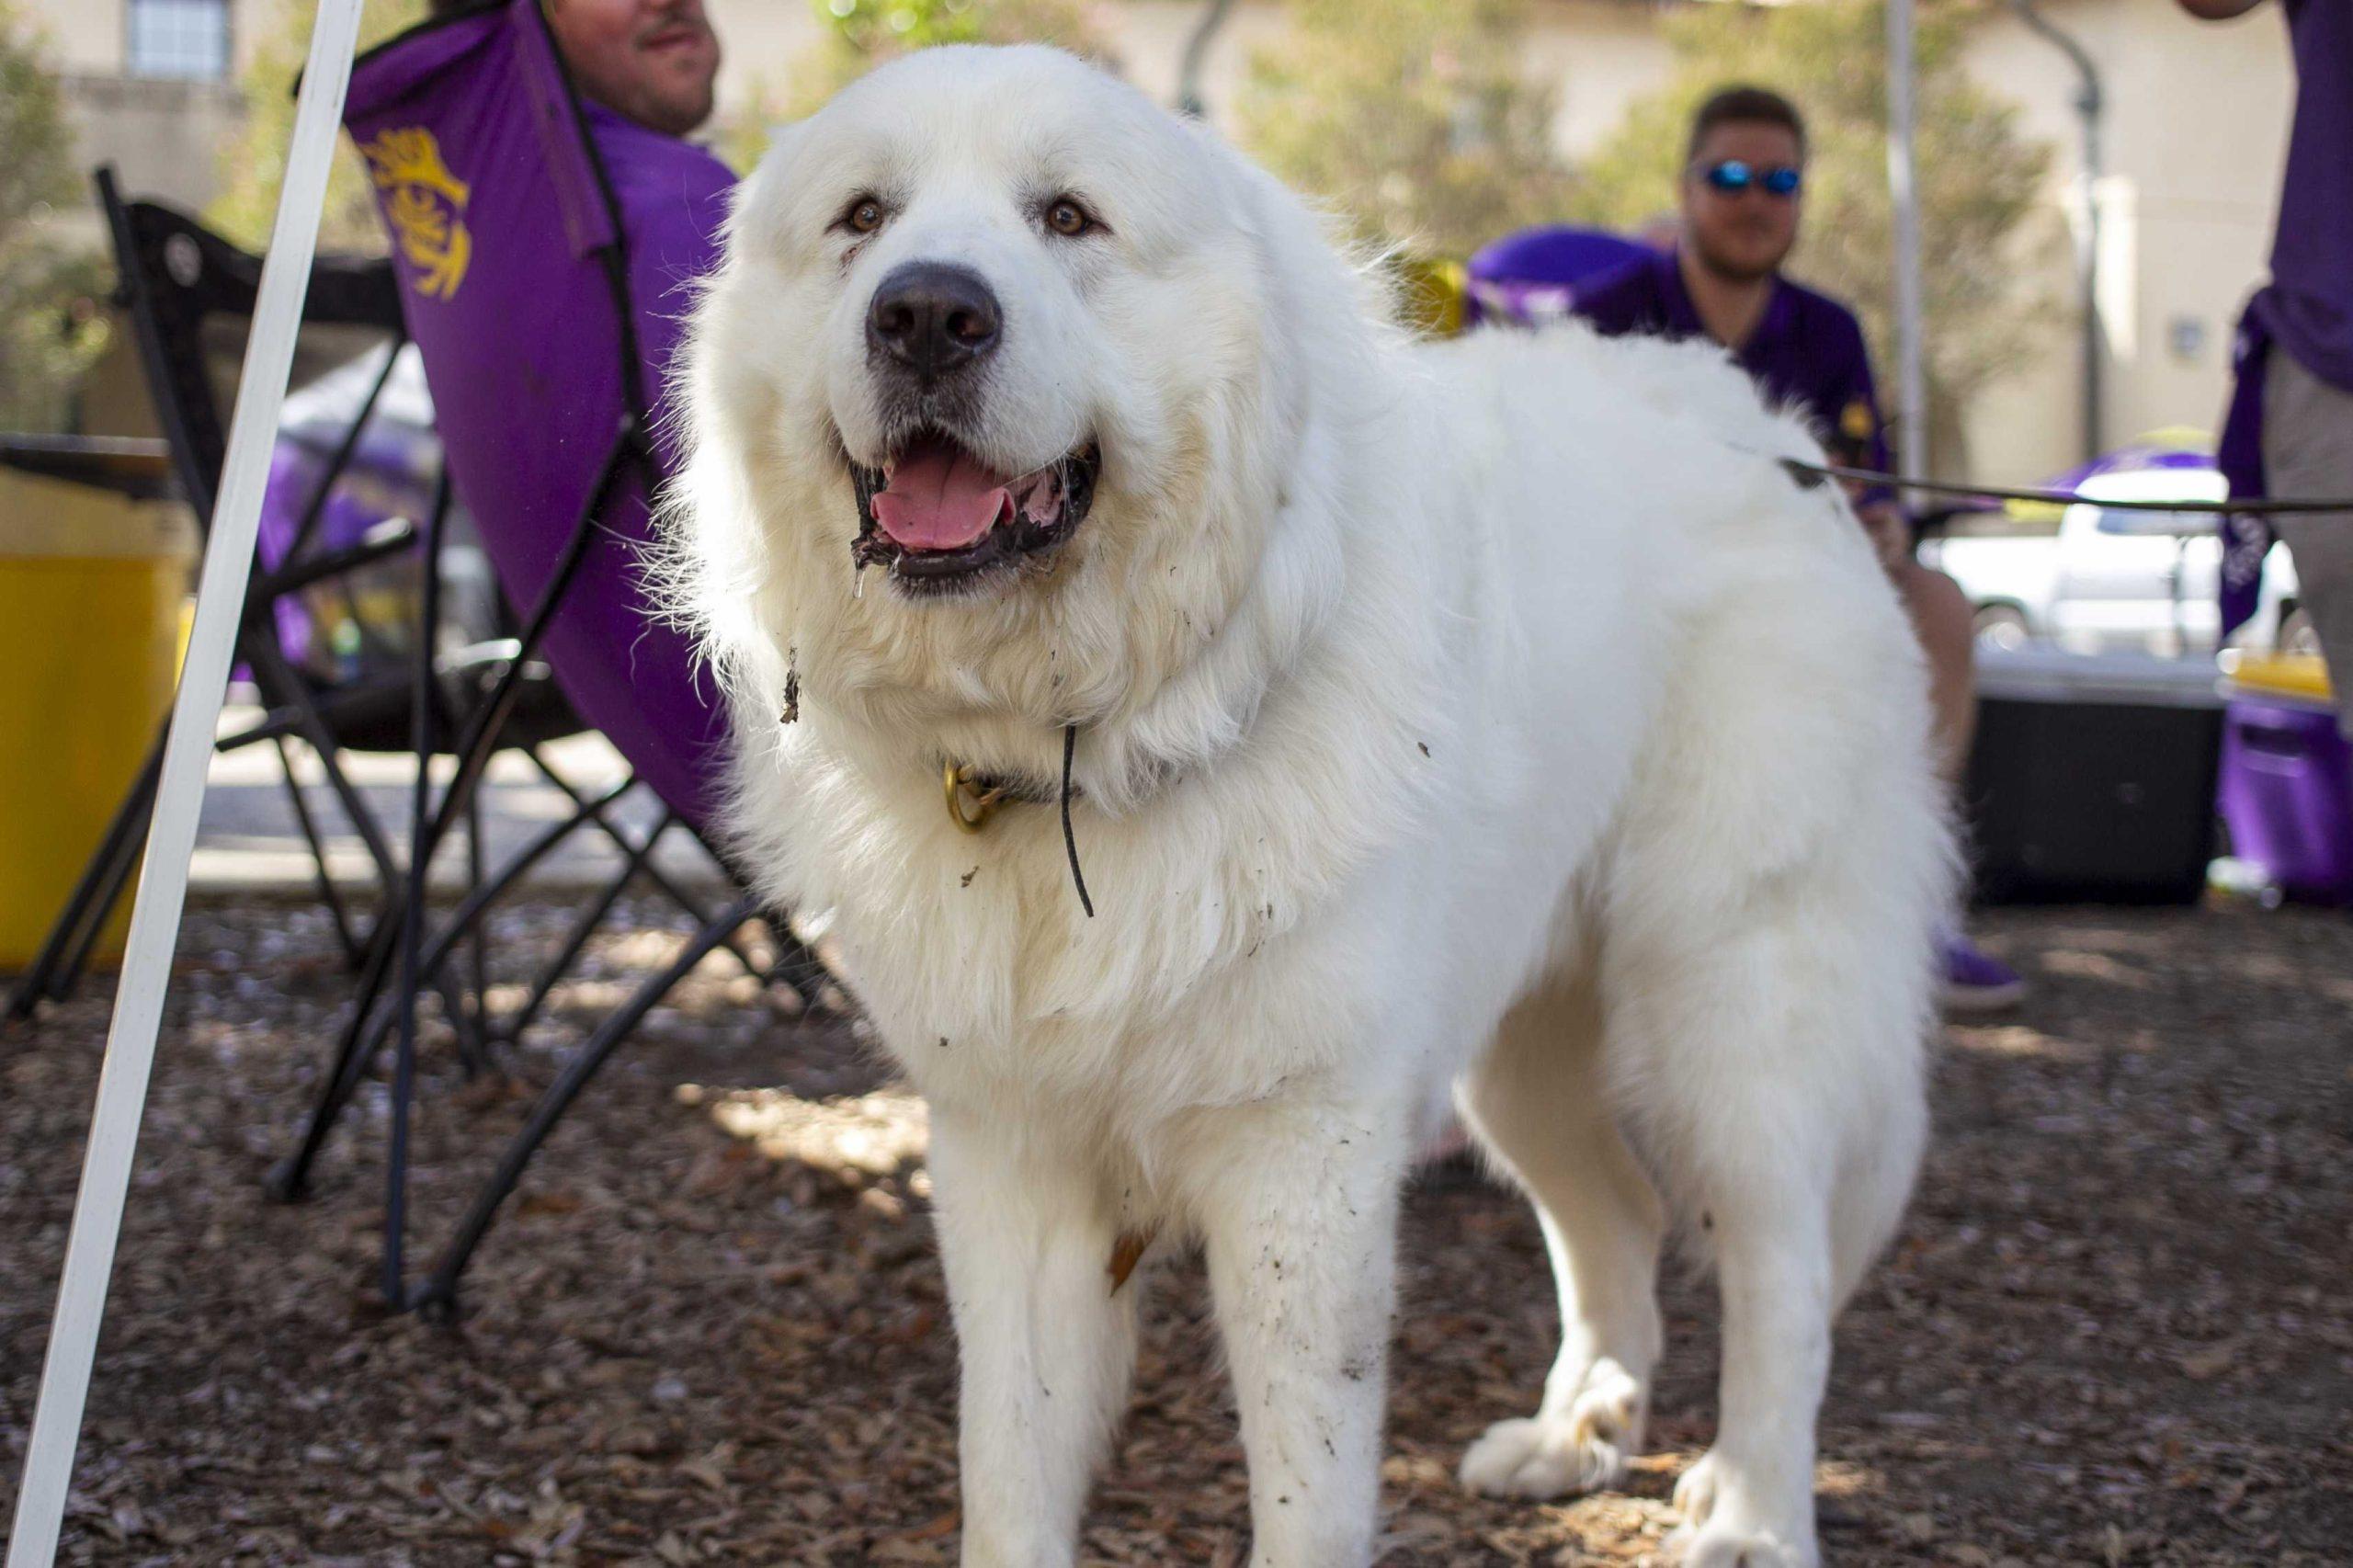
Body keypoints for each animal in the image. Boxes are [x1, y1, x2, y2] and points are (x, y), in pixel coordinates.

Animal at [668, 45, 1948, 1562]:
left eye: (1068, 217)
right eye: (864, 218)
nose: (926, 312)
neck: (1074, 747)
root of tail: (1774, 439)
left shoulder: (1300, 1160)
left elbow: (1307, 1481)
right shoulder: (1011, 1155)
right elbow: (1011, 1459)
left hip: (1731, 1005)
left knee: (1780, 1272)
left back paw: (1751, 1506)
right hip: (1523, 1041)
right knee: (1621, 1217)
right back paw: (1576, 1431)